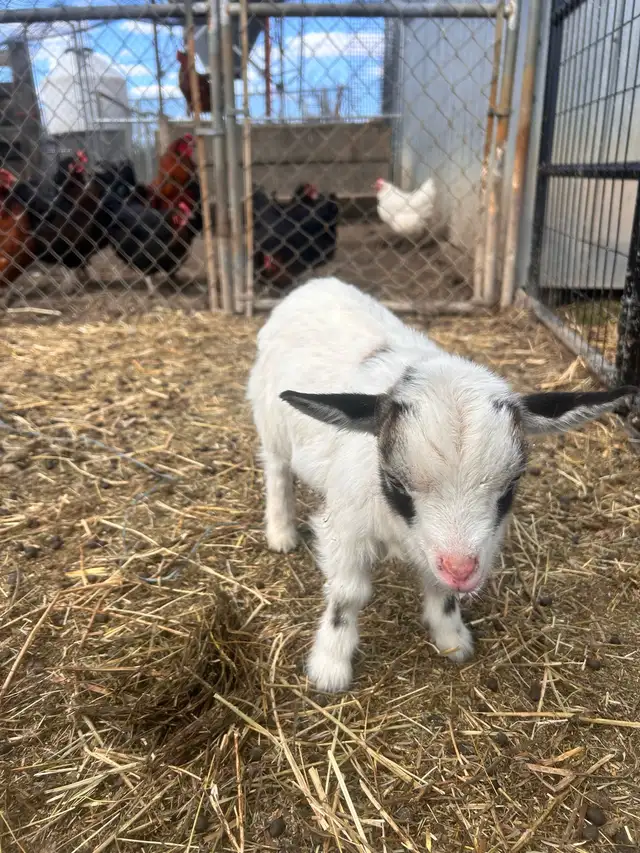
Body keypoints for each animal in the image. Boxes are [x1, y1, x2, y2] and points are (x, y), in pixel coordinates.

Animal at [247, 277, 637, 693]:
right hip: (271, 421)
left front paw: (452, 638)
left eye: (512, 483)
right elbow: (347, 595)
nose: (461, 570)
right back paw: (281, 532)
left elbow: (442, 588)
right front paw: (330, 665)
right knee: (277, 471)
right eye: (395, 482)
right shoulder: (347, 527)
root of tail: (318, 282)